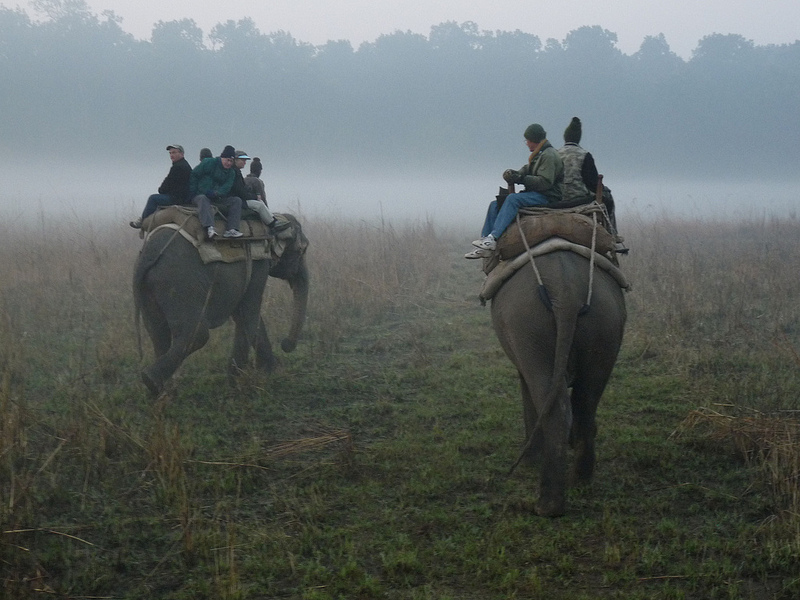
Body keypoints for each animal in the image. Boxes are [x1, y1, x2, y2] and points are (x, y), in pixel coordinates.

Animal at [131, 213, 310, 396]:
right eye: (302, 249)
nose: (285, 344)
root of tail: (148, 254)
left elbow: (244, 315)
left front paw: (262, 372)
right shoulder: (258, 264)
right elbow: (248, 314)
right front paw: (243, 381)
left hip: (149, 286)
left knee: (157, 332)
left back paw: (164, 390)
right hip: (179, 283)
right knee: (196, 334)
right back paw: (151, 380)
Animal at [490, 248, 628, 516]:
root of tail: (566, 292)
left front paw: (530, 462)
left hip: (528, 328)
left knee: (552, 404)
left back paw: (547, 506)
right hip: (605, 325)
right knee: (586, 402)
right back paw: (580, 480)